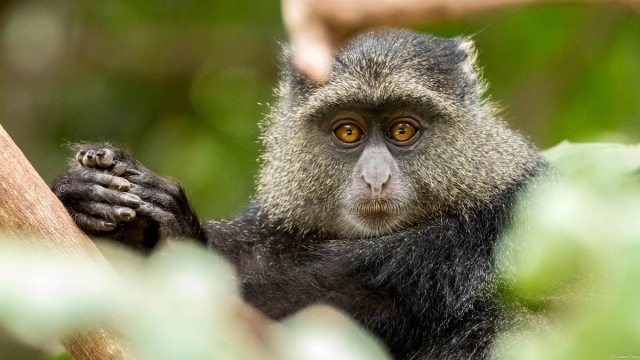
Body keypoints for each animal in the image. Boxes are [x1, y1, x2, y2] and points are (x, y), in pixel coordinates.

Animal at [52, 29, 548, 358]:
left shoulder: (488, 227)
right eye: (348, 132)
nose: (375, 179)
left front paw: (169, 233)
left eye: (403, 130)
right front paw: (94, 201)